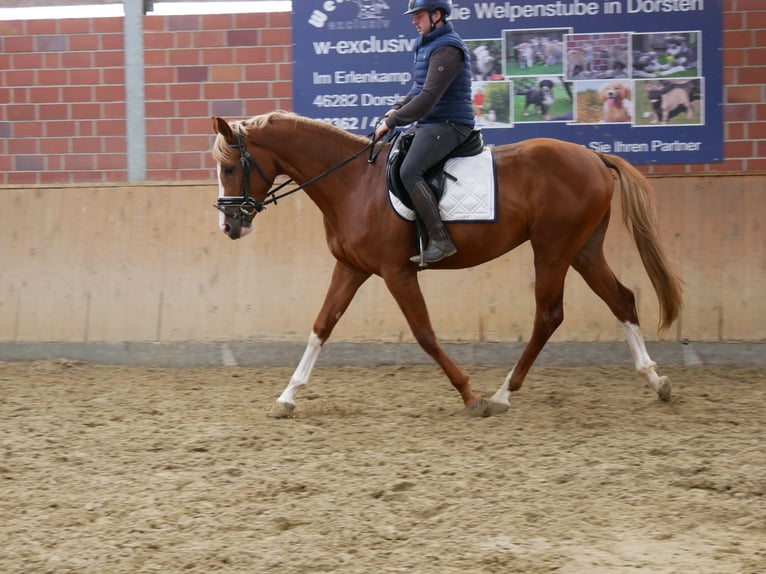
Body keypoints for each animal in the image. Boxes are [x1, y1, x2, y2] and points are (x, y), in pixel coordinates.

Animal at [210, 111, 684, 418]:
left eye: (230, 168)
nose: (230, 226)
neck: (353, 185)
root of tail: (594, 157)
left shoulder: (396, 272)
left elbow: (424, 333)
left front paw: (470, 395)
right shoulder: (351, 268)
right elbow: (321, 326)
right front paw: (287, 397)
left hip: (552, 250)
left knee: (549, 315)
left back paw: (502, 395)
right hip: (582, 249)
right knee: (621, 299)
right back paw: (656, 381)